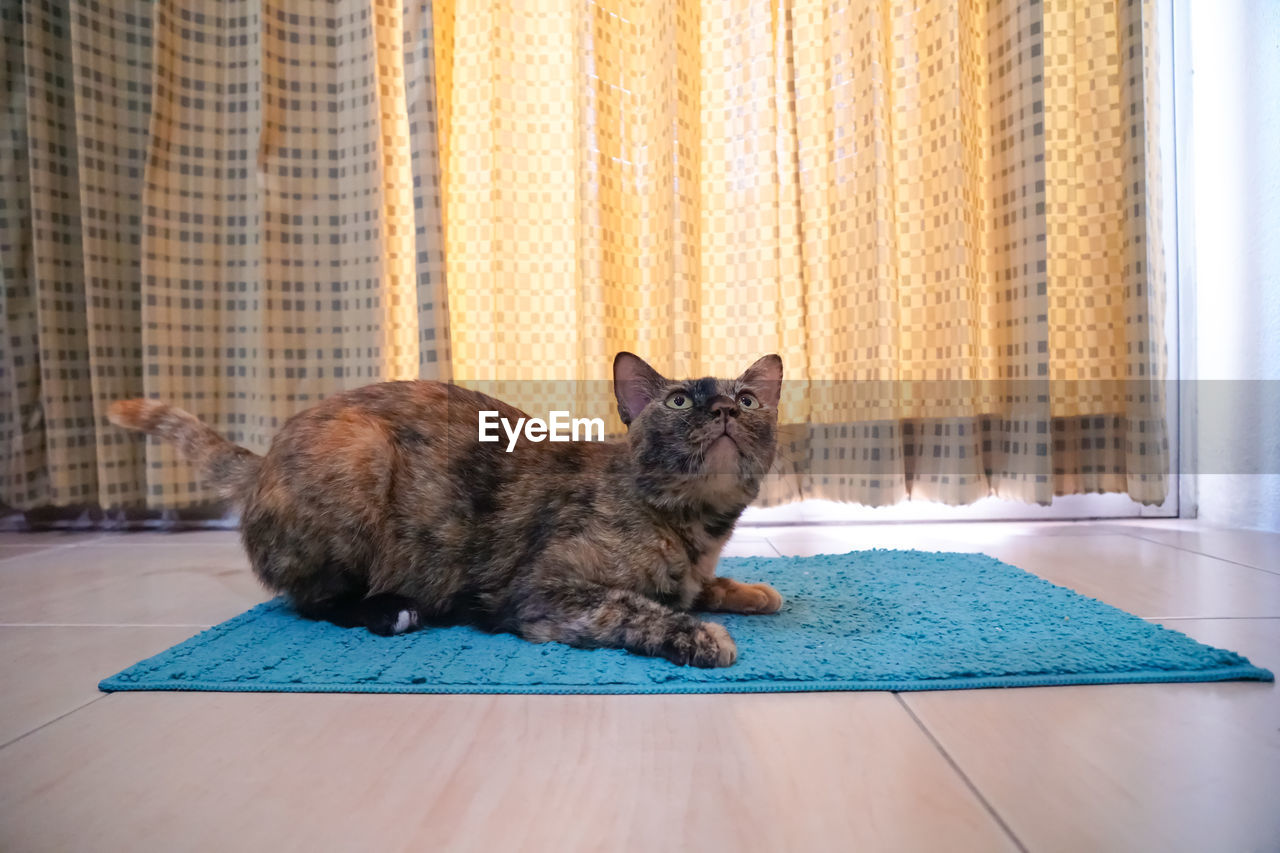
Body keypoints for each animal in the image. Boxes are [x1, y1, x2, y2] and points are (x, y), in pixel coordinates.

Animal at [110, 350, 783, 666]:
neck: (696, 528)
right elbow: (635, 608)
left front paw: (748, 590)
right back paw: (395, 612)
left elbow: (699, 588)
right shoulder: (545, 592)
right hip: (360, 454)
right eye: (678, 400)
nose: (724, 408)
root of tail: (264, 460)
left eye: (749, 400)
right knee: (312, 601)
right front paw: (699, 635)